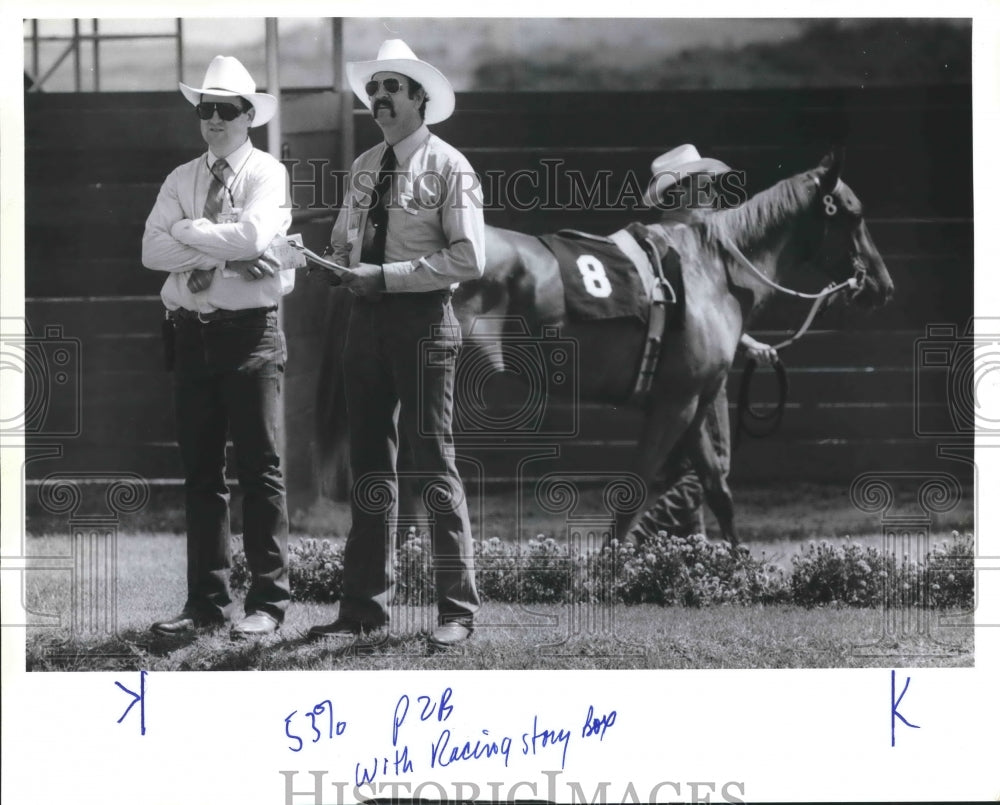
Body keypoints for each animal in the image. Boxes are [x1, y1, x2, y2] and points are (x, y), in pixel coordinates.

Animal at [312, 148, 892, 544]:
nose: (882, 286)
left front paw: (740, 567)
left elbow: (717, 489)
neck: (712, 271)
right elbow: (635, 490)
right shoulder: (674, 404)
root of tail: (373, 269)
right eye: (854, 214)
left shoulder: (695, 403)